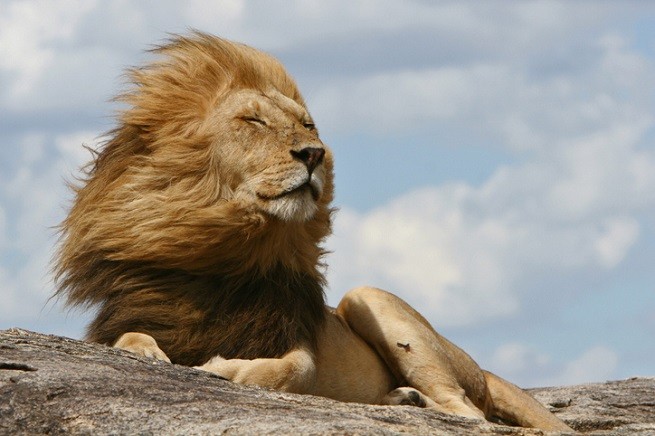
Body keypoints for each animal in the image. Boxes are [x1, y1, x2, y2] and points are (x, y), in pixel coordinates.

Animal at [54, 32, 572, 432]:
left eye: (308, 124)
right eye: (254, 120)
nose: (314, 153)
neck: (224, 254)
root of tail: (479, 365)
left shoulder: (299, 342)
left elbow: (292, 371)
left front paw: (224, 369)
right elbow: (128, 340)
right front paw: (151, 356)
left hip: (370, 300)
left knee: (468, 413)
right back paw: (399, 399)